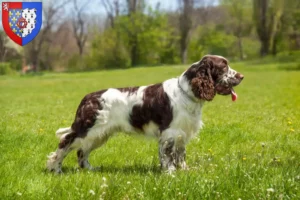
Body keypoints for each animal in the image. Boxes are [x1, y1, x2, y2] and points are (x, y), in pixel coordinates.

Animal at [47, 55, 244, 173]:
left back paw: (89, 169)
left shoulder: (182, 133)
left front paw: (184, 170)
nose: (241, 76)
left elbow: (180, 155)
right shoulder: (170, 132)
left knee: (82, 151)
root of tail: (88, 98)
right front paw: (170, 173)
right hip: (87, 129)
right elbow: (168, 155)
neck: (186, 92)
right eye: (224, 66)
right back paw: (55, 168)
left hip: (100, 134)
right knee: (65, 141)